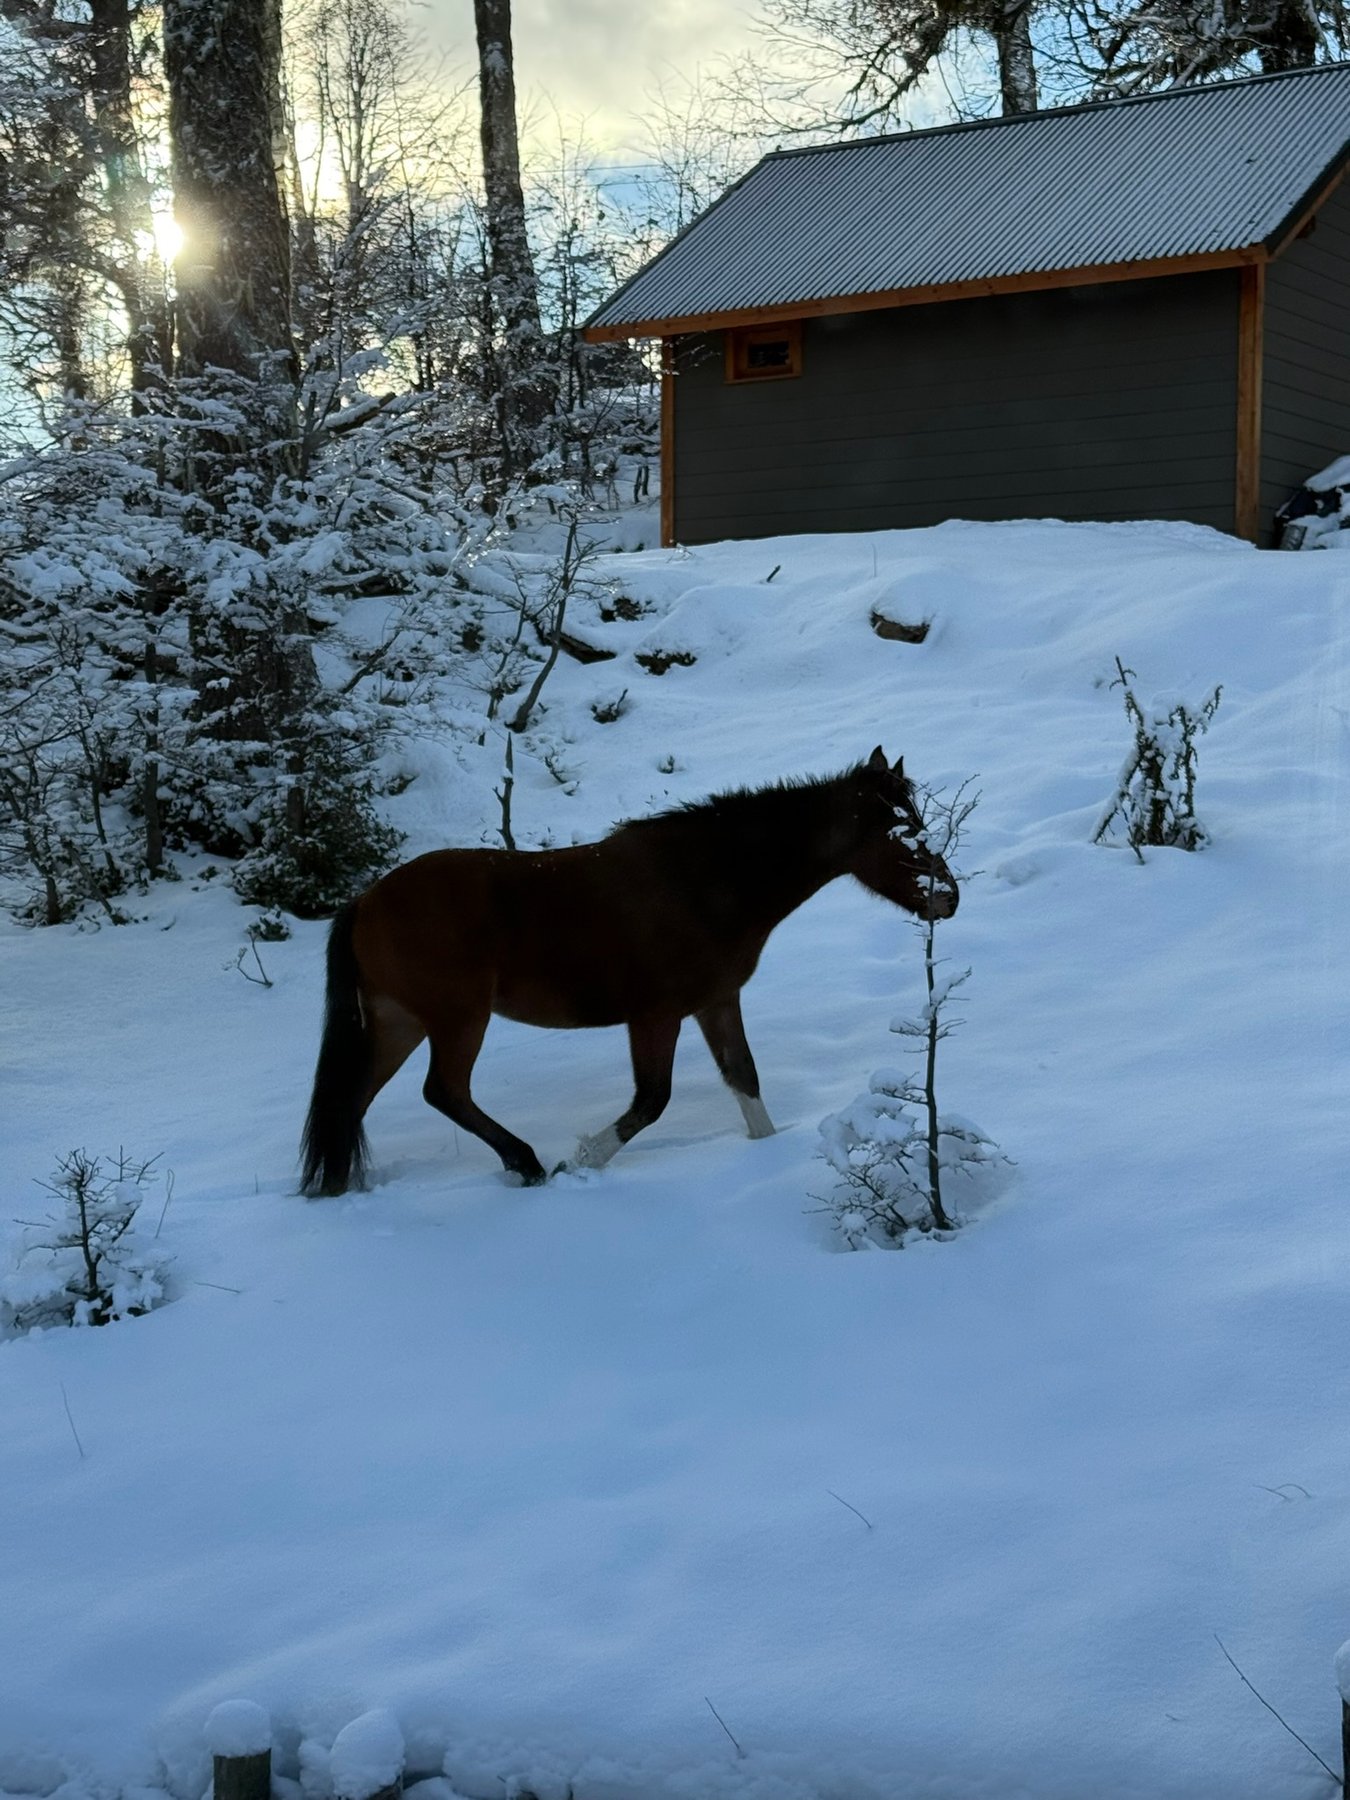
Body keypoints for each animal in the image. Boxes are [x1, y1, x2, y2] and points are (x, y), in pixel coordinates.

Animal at [300, 747, 959, 1195]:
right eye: (902, 831)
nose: (948, 899)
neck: (704, 883)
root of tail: (364, 902)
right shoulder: (655, 1017)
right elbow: (652, 1101)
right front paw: (584, 1158)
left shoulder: (715, 1002)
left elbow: (744, 1078)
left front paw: (765, 1152)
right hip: (458, 1019)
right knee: (444, 1091)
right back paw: (527, 1162)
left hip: (400, 1022)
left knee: (352, 1101)